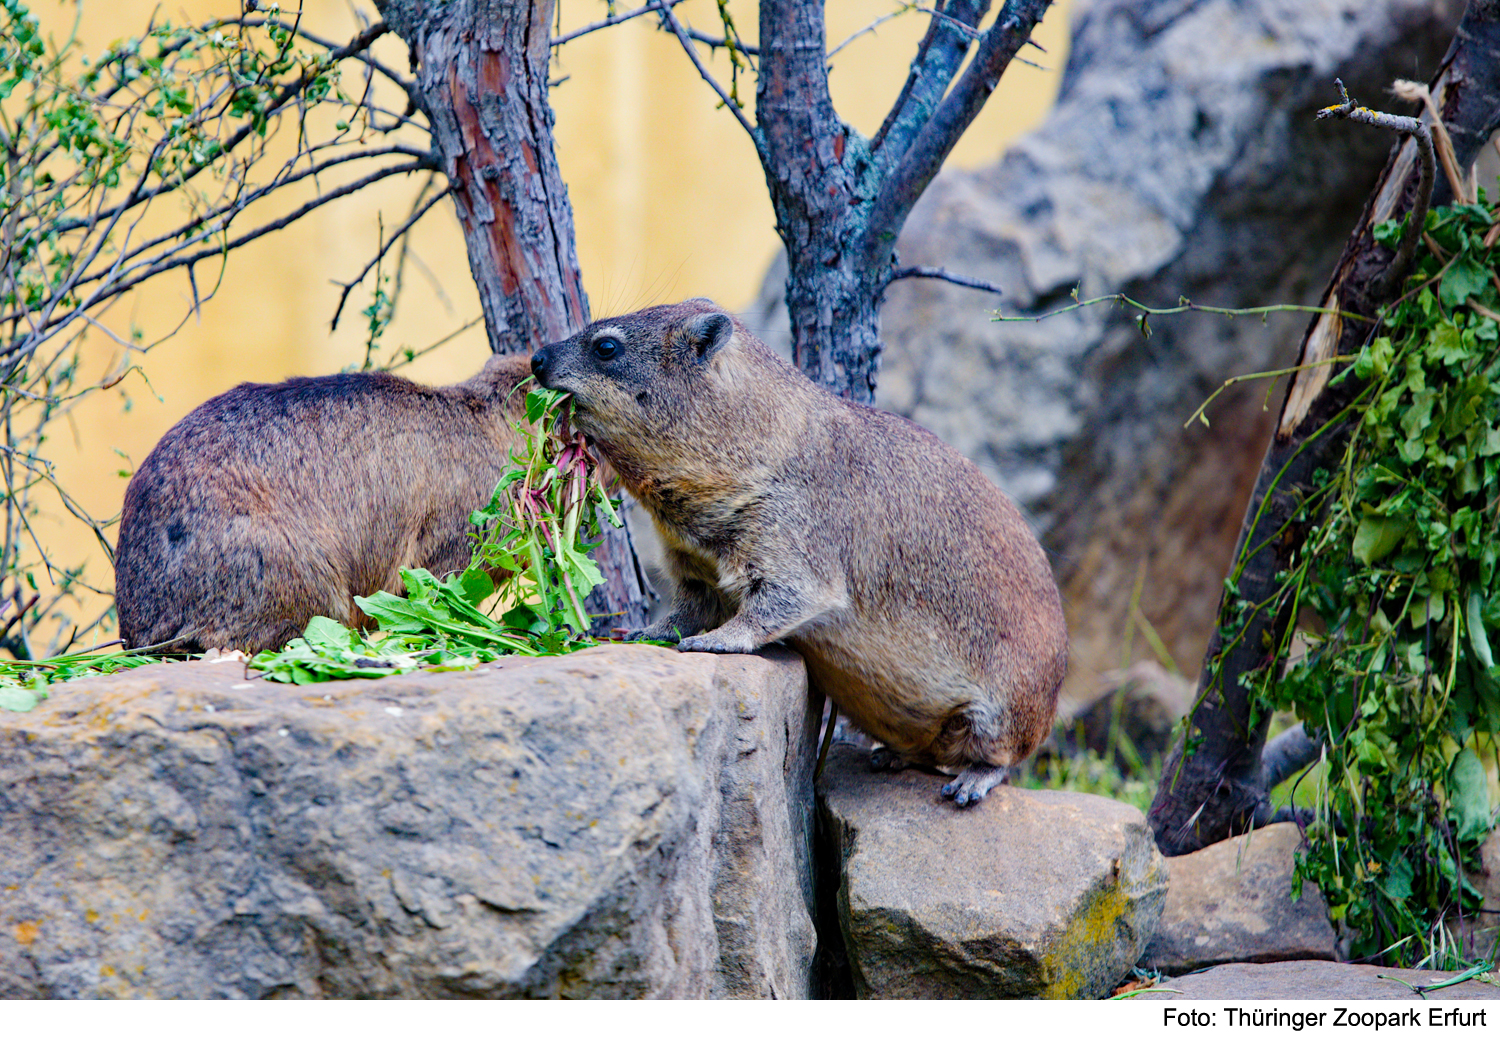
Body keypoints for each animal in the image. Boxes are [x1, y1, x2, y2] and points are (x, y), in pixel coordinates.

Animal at [530, 299, 1067, 806]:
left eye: (606, 347)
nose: (537, 358)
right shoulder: (690, 567)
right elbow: (684, 610)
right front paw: (645, 633)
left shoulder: (797, 545)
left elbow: (775, 605)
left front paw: (715, 641)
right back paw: (890, 756)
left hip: (1006, 710)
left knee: (1003, 758)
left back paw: (969, 784)